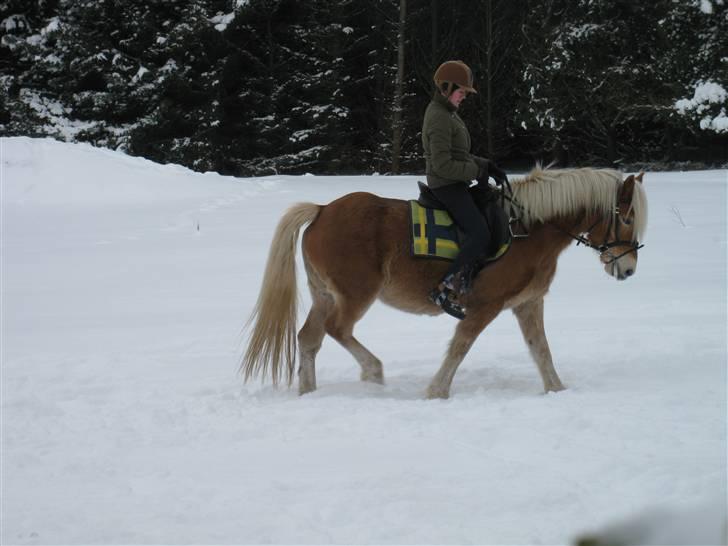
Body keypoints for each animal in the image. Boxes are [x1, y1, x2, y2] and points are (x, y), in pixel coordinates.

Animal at [243, 164, 648, 398]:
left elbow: (541, 350)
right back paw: (373, 373)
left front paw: (556, 389)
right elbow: (460, 347)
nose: (628, 268)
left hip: (324, 295)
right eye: (627, 217)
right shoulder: (485, 306)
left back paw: (309, 392)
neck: (526, 229)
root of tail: (323, 210)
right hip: (355, 294)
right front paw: (437, 391)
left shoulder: (528, 303)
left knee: (308, 339)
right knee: (336, 330)